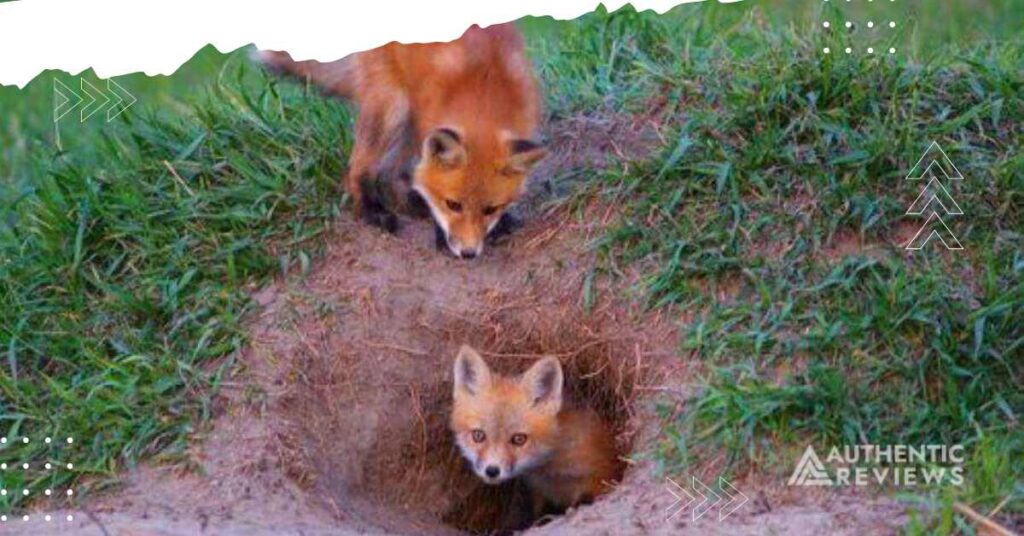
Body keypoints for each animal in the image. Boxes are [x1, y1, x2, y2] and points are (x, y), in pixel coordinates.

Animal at [257, 23, 548, 259]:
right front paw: (439, 232)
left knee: (393, 173)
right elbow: (425, 181)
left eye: (491, 209)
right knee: (358, 168)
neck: (483, 87)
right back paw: (372, 211)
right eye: (453, 205)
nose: (468, 253)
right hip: (394, 107)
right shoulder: (425, 120)